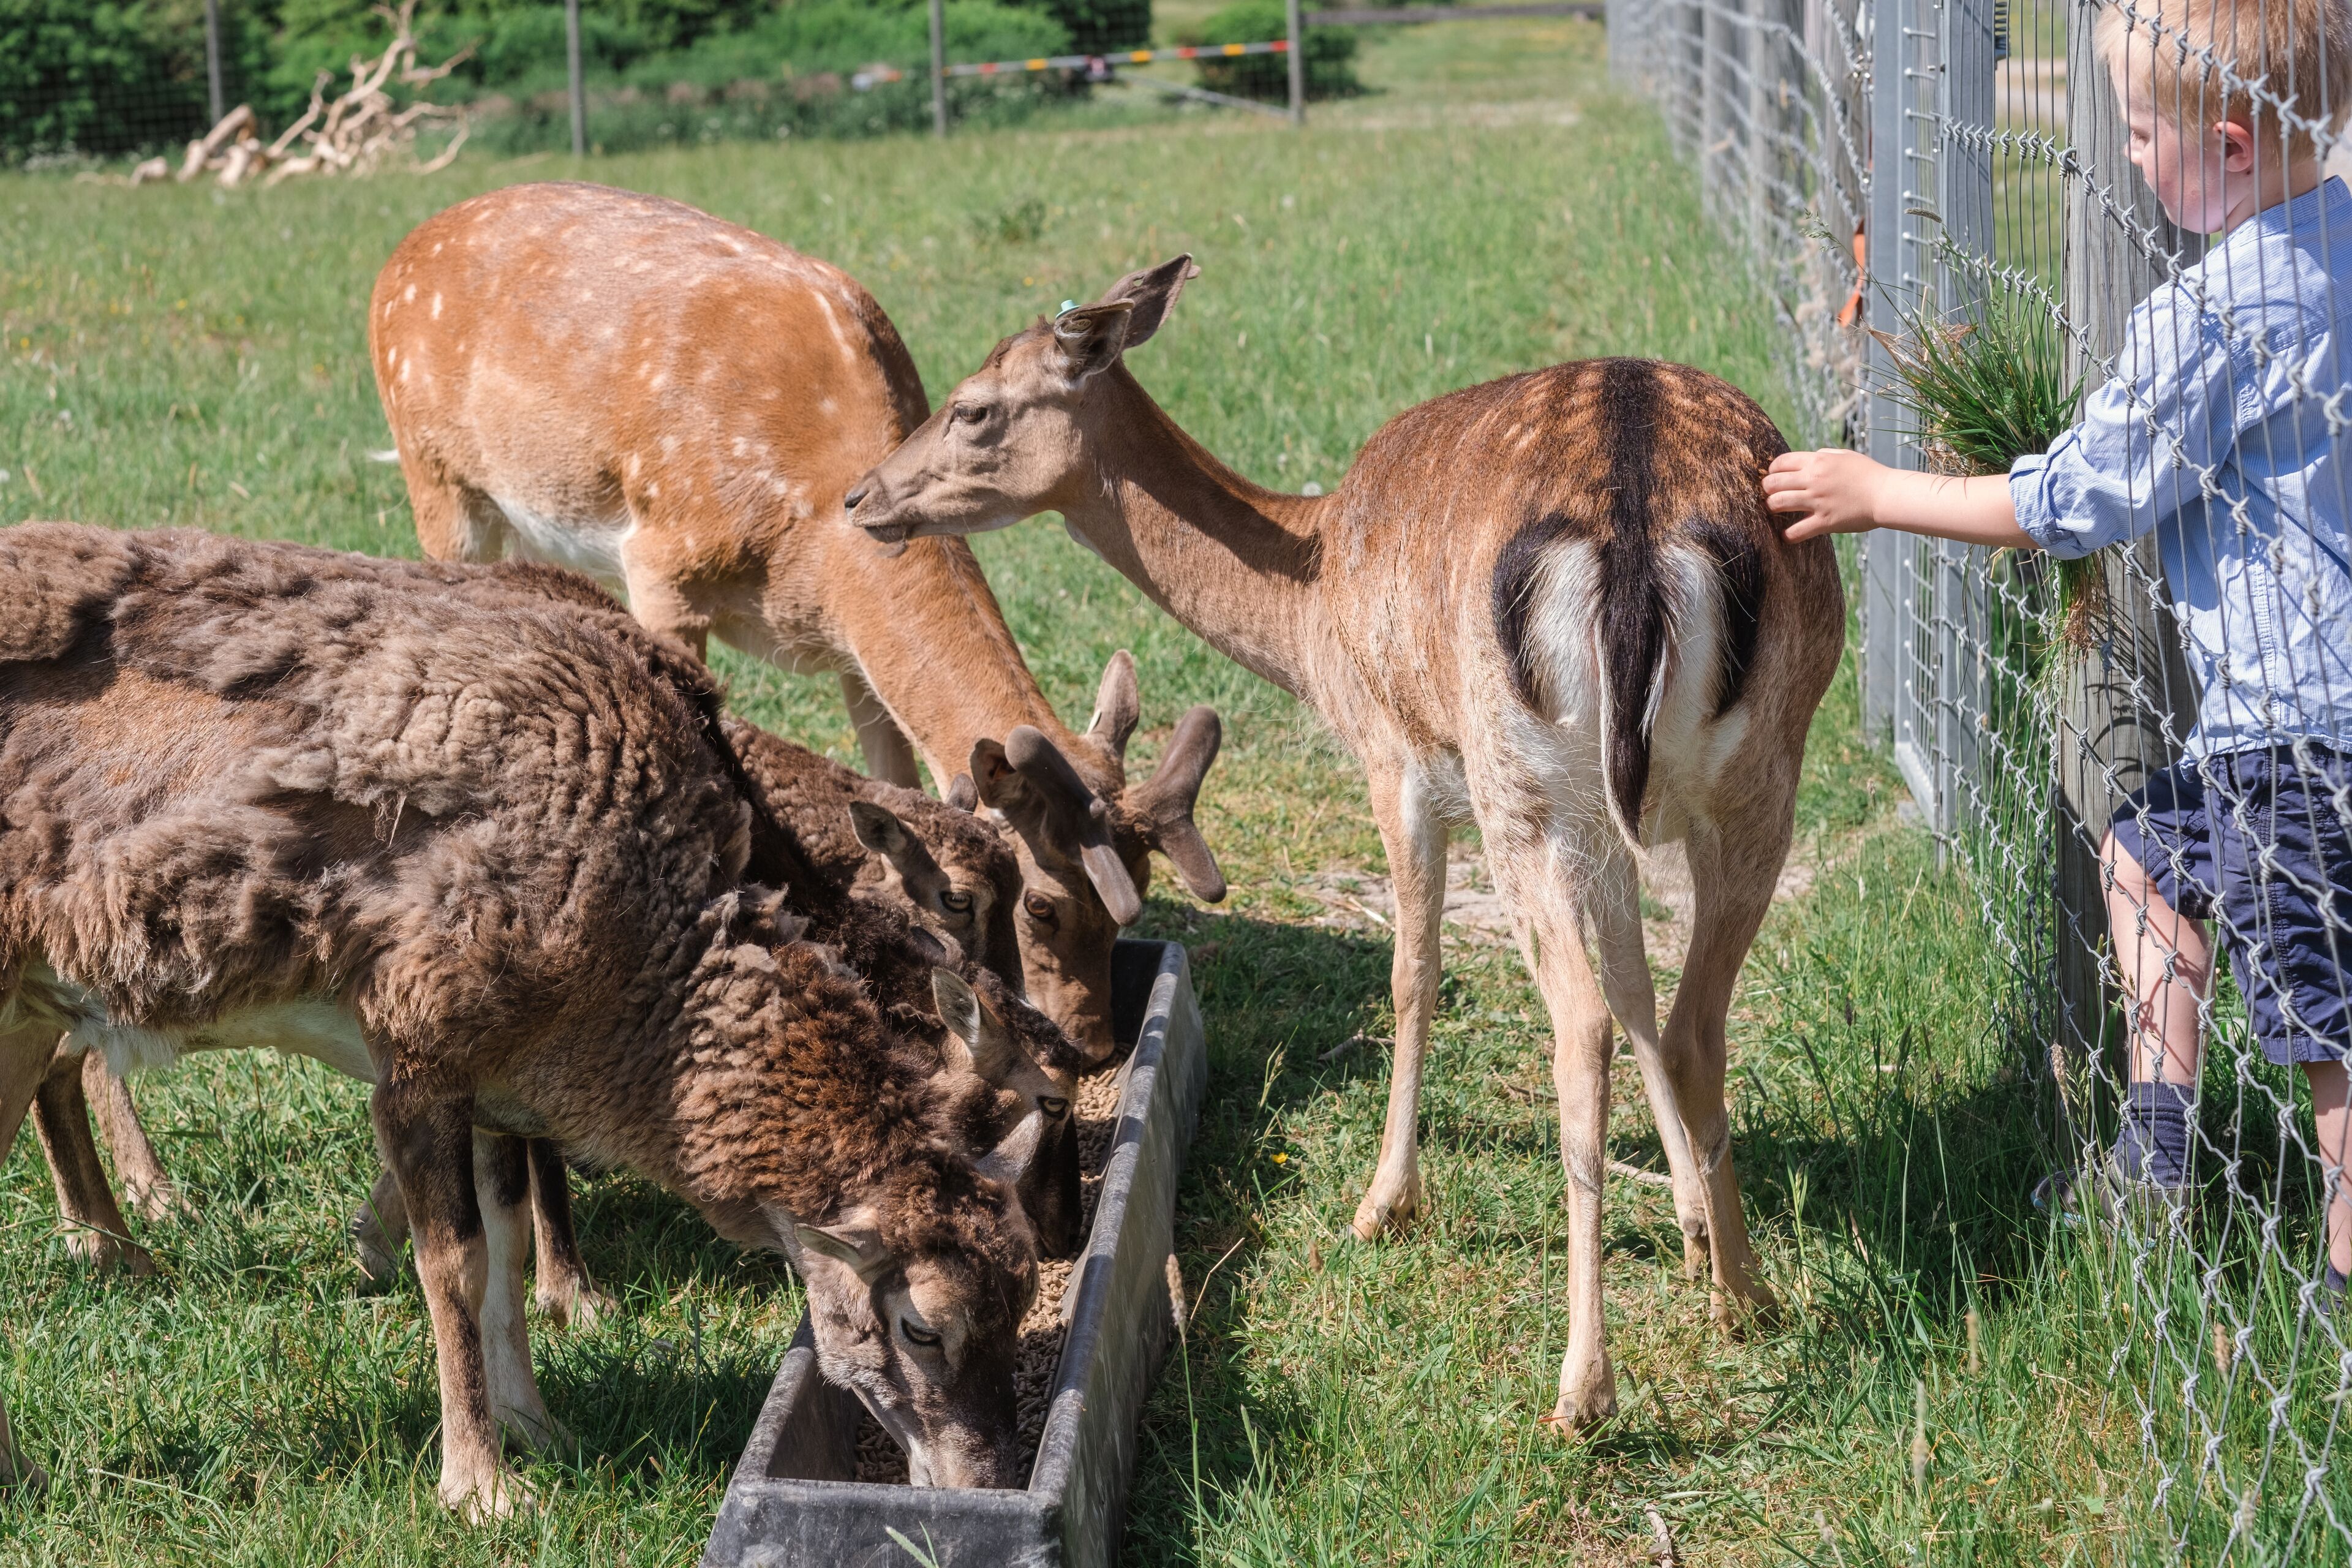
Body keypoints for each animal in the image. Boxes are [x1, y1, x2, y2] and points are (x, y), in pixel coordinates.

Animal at [0, 523, 1044, 1513]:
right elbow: (455, 1266)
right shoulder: (417, 1056)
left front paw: (538, 1427)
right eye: (922, 1325)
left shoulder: (500, 1083)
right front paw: (482, 1488)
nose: (988, 1479)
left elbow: (504, 1251)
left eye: (1025, 1293)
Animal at [366, 180, 1226, 1062]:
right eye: (1043, 903)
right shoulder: (661, 566)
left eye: (1138, 893)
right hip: (435, 475)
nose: (1097, 1047)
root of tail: (409, 244)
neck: (808, 537)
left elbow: (894, 784)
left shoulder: (853, 658)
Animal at [841, 258, 1847, 1429]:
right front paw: (1688, 1227)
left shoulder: (1392, 758)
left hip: (1518, 788)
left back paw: (1582, 1389)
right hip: (1759, 773)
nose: (862, 498)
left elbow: (1416, 972)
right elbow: (1639, 987)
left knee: (1580, 1025)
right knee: (1689, 1019)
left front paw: (1384, 1204)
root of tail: (1640, 523)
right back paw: (1746, 1295)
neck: (1311, 604)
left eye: (973, 406)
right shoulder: (1604, 826)